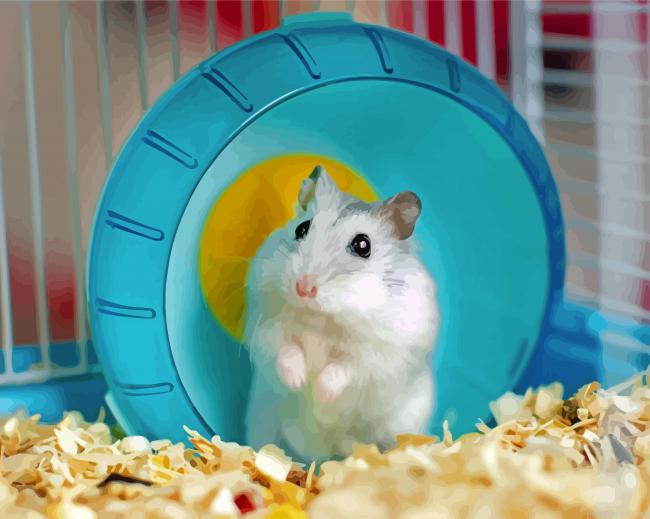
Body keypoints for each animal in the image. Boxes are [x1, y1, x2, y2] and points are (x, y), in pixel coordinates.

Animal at [243, 165, 439, 463]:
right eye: (301, 228)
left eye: (363, 245)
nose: (303, 288)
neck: (322, 319)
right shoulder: (269, 326)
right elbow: (286, 350)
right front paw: (299, 381)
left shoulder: (379, 354)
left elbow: (344, 369)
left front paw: (321, 394)